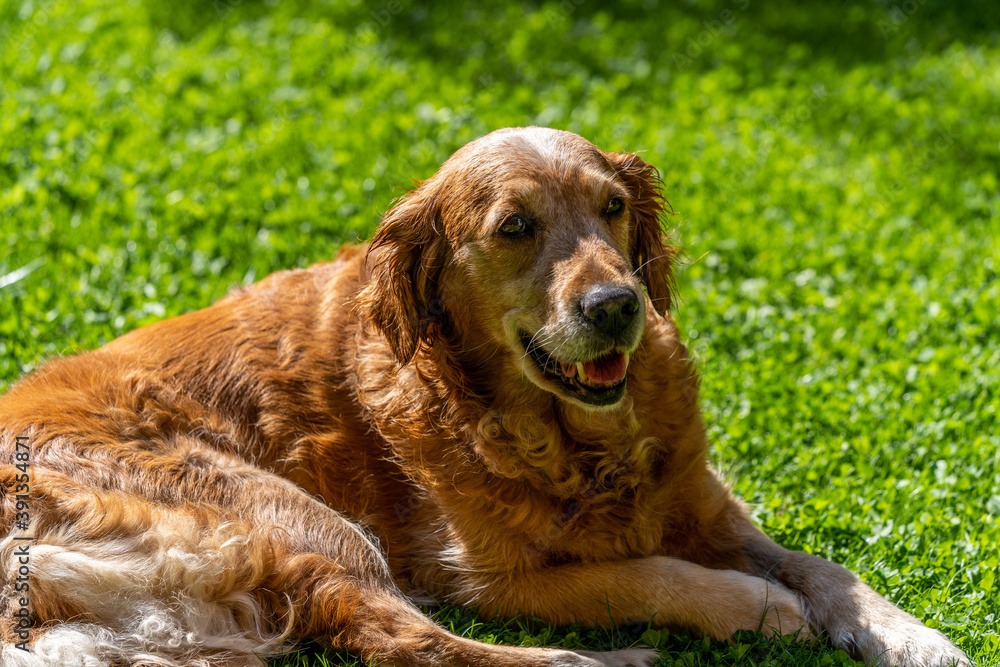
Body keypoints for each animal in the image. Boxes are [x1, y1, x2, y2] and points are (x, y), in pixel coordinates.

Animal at [0, 126, 968, 667]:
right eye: (516, 227)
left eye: (613, 207)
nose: (617, 305)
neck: (580, 439)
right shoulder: (491, 577)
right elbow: (646, 571)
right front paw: (758, 608)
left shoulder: (709, 506)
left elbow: (825, 566)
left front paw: (913, 636)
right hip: (293, 514)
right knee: (406, 640)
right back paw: (604, 663)